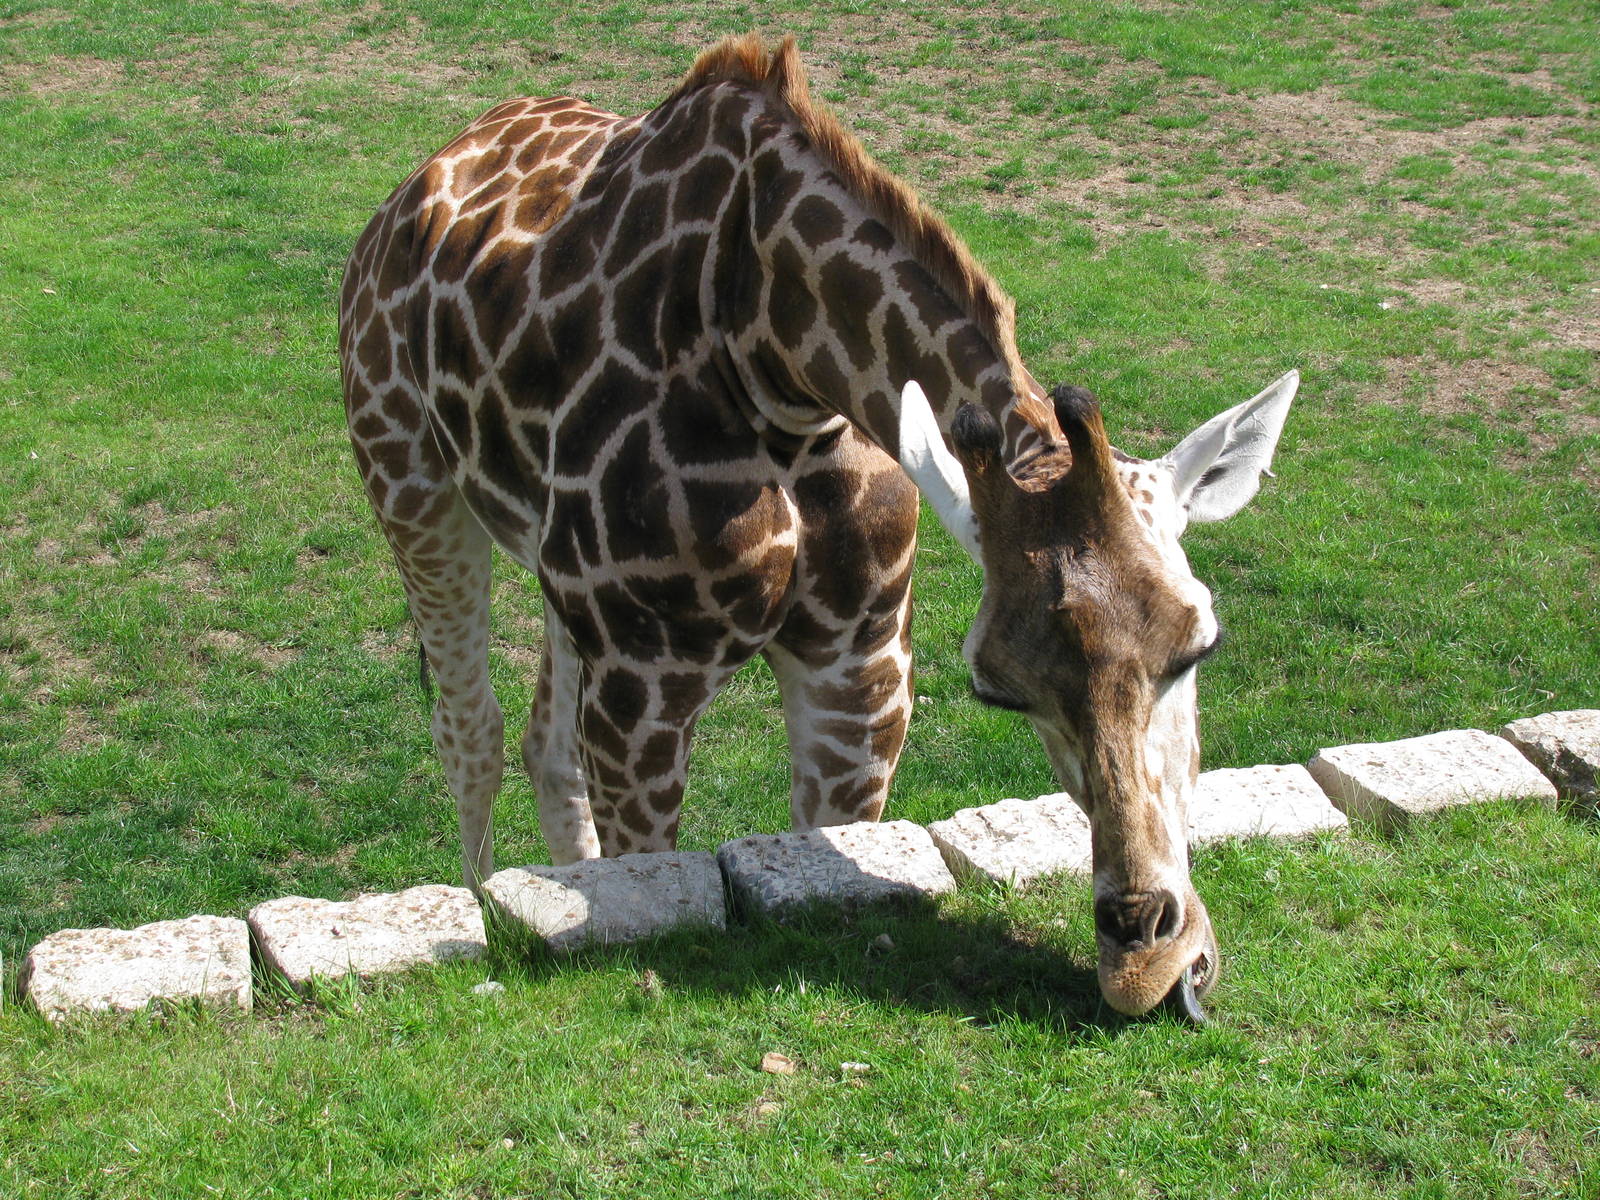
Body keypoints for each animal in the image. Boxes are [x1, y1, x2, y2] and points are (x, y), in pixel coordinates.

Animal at [338, 34, 1297, 1020]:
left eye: (1199, 646)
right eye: (997, 689)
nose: (1149, 965)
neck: (773, 358)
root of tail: (427, 174)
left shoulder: (859, 665)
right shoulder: (647, 681)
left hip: (559, 579)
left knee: (541, 740)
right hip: (407, 477)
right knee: (472, 729)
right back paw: (485, 903)